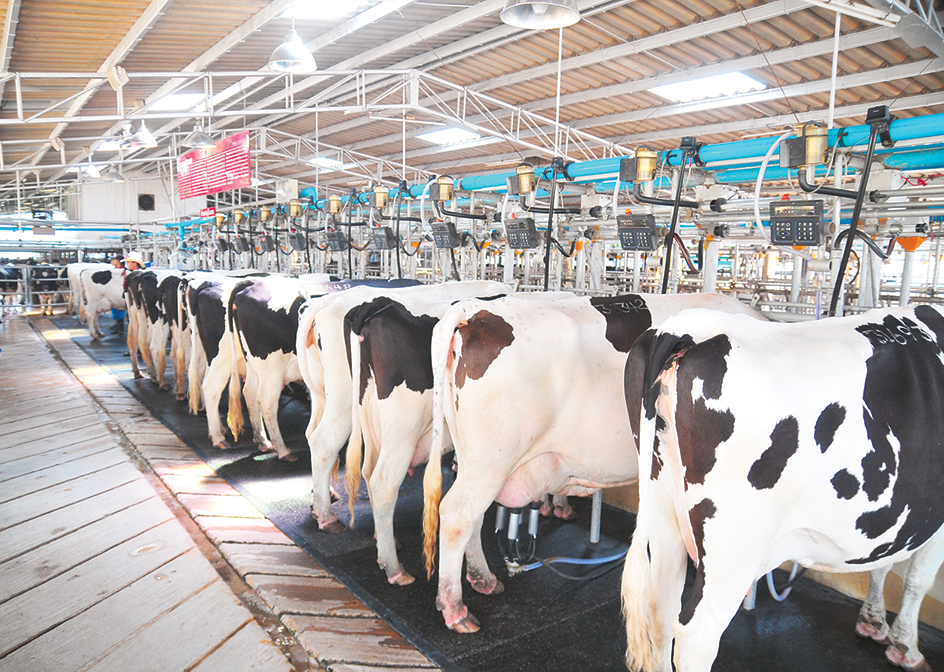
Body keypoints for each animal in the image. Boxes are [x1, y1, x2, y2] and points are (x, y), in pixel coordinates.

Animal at [424, 292, 764, 632]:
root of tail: (476, 311)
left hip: (476, 459)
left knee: (472, 517)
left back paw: (484, 579)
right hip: (492, 459)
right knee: (457, 516)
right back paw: (455, 608)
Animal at [624, 306, 944, 672]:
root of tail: (692, 324)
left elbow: (885, 563)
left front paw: (874, 621)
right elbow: (918, 577)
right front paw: (906, 646)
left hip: (666, 515)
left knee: (660, 612)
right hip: (732, 549)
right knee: (695, 638)